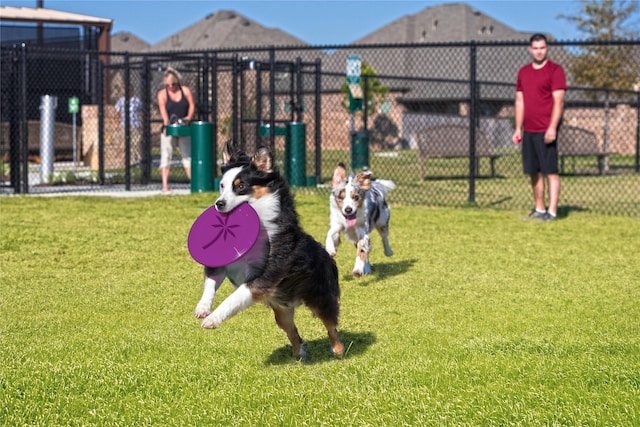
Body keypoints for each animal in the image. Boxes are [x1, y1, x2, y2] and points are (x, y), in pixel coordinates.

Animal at [194, 144, 344, 362]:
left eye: (240, 186)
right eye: (222, 185)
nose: (219, 204)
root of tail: (328, 258)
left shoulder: (263, 278)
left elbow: (233, 298)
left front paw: (213, 319)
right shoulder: (224, 264)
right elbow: (210, 284)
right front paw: (203, 308)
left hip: (320, 297)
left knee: (331, 326)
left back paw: (338, 350)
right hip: (281, 311)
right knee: (292, 331)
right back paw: (300, 353)